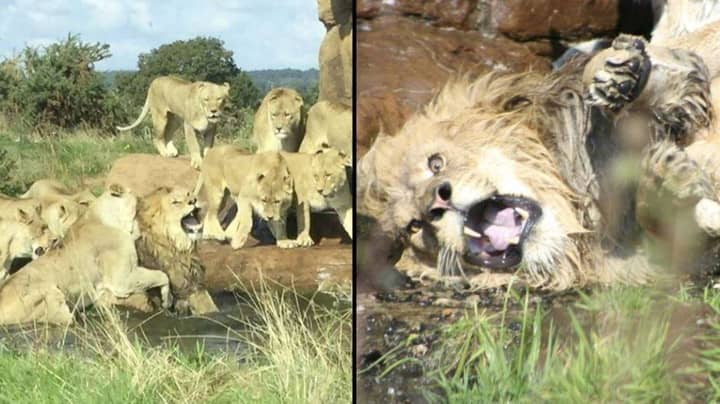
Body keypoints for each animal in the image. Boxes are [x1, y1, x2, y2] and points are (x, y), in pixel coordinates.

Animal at [0, 184, 170, 326]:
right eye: (139, 198)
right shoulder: (121, 280)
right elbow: (162, 275)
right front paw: (166, 300)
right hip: (50, 292)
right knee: (67, 319)